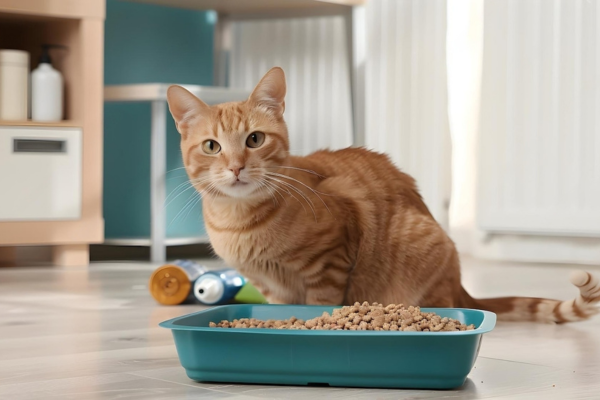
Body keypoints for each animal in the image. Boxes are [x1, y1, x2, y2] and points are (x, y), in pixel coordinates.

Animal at [165, 65, 600, 322]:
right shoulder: (272, 290)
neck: (239, 221)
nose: (237, 167)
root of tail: (462, 286)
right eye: (212, 147)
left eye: (254, 140)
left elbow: (320, 306)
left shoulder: (331, 260)